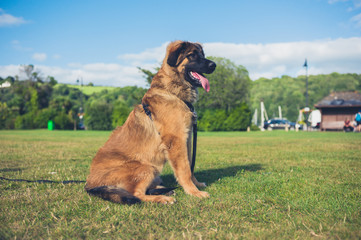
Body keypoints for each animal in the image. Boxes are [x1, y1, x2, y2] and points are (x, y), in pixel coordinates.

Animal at [84, 40, 215, 204]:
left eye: (203, 55)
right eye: (192, 55)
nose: (214, 65)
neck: (172, 92)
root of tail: (90, 184)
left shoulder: (187, 139)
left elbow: (190, 167)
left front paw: (196, 185)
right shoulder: (177, 141)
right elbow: (185, 169)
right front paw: (193, 192)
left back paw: (162, 189)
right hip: (145, 167)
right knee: (137, 194)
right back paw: (162, 198)